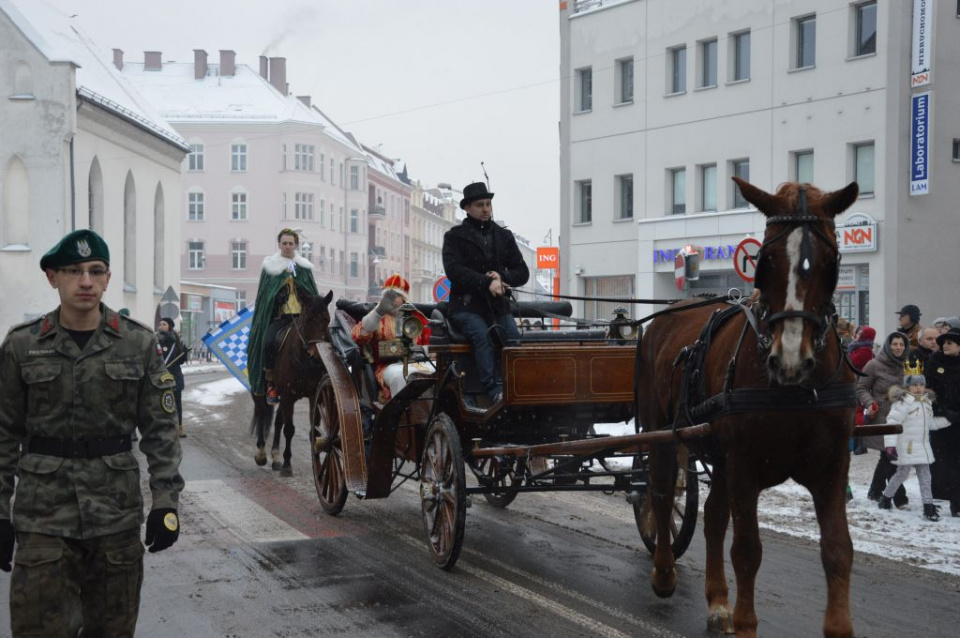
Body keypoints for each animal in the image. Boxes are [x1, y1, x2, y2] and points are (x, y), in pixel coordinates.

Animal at [251, 290, 334, 476]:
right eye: (308, 319)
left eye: (326, 319)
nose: (317, 357)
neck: (304, 360)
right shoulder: (289, 395)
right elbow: (289, 429)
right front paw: (287, 464)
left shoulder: (313, 395)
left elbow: (312, 430)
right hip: (260, 389)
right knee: (262, 413)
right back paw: (261, 454)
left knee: (277, 421)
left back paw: (275, 457)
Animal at [640, 178, 860, 636]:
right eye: (765, 260)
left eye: (830, 262)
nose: (790, 359)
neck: (796, 391)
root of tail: (668, 312)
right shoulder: (745, 466)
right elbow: (746, 549)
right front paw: (744, 623)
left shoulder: (832, 468)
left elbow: (837, 549)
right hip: (663, 433)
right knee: (662, 493)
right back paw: (664, 573)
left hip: (719, 455)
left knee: (711, 516)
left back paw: (717, 601)